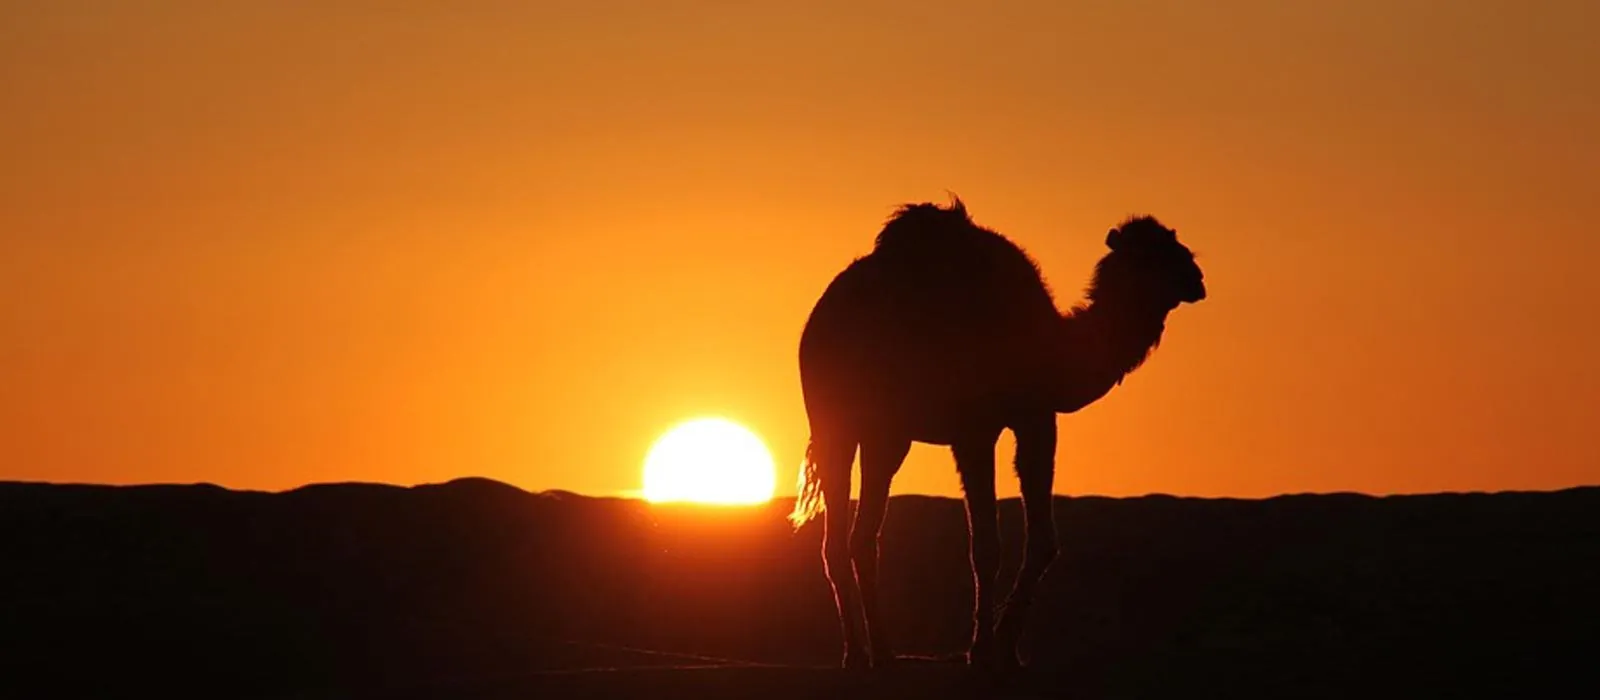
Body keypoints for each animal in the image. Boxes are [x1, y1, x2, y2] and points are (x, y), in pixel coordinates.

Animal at [789, 196, 1206, 670]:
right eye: (1150, 253)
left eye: (1173, 240)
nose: (1196, 277)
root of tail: (819, 320)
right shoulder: (974, 431)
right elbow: (986, 546)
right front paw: (983, 649)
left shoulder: (1037, 418)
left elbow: (1043, 540)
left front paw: (1008, 648)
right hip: (833, 421)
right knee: (837, 537)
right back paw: (858, 654)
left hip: (887, 434)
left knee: (862, 536)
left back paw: (882, 650)